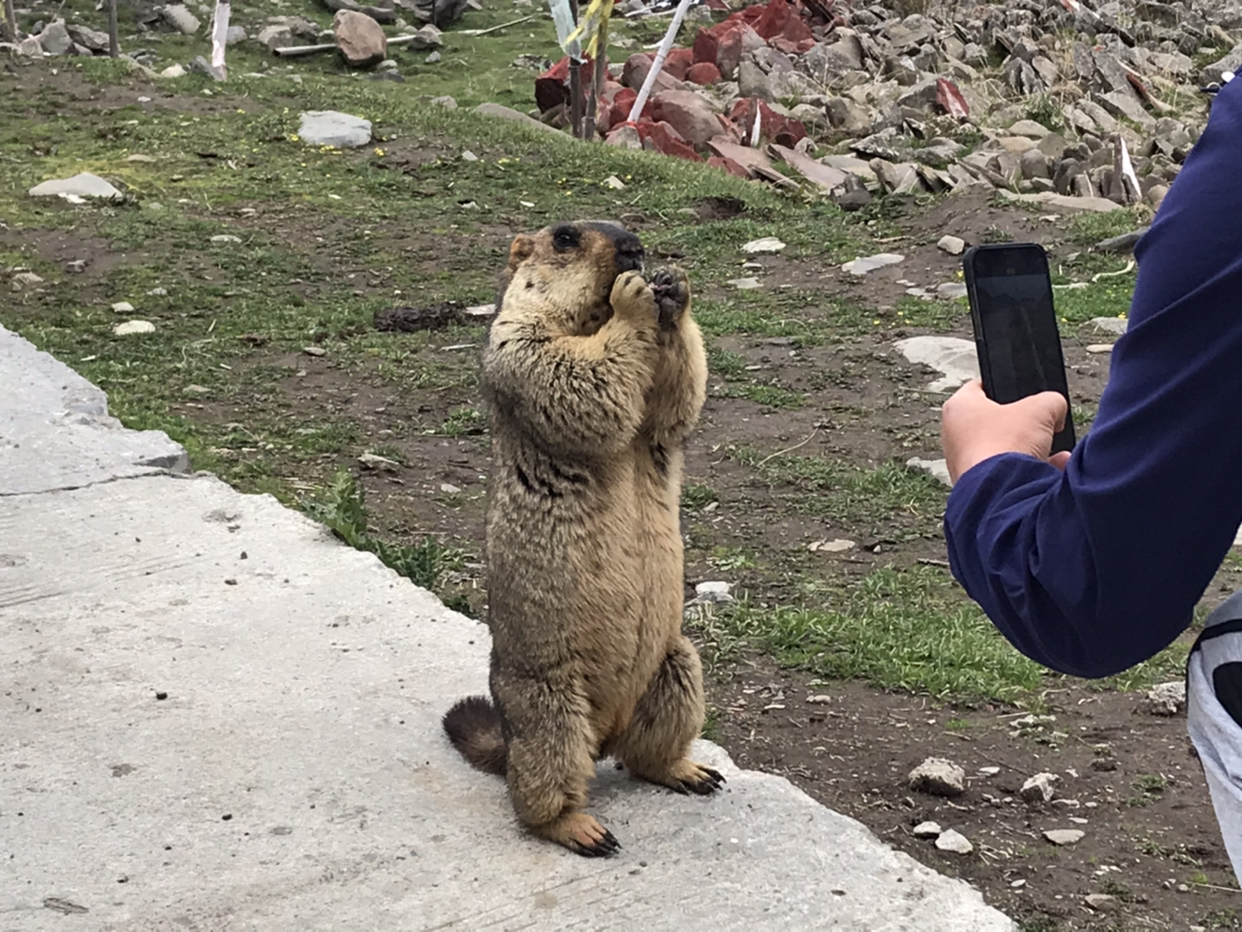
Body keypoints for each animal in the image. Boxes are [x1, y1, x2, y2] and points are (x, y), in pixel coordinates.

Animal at [442, 220, 723, 857]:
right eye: (566, 237)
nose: (635, 248)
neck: (591, 319)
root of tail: (605, 732)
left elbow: (673, 402)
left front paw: (674, 287)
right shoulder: (518, 338)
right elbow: (574, 373)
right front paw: (635, 295)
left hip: (678, 665)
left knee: (641, 757)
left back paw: (689, 770)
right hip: (551, 711)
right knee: (543, 790)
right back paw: (579, 828)